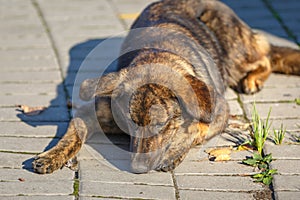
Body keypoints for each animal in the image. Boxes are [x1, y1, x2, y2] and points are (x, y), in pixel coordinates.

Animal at [32, 0, 300, 173]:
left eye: (160, 125)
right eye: (128, 123)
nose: (138, 168)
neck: (157, 56)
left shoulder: (220, 112)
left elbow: (195, 129)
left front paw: (174, 150)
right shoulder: (92, 111)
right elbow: (73, 135)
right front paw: (51, 156)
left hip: (234, 52)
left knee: (265, 57)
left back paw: (253, 79)